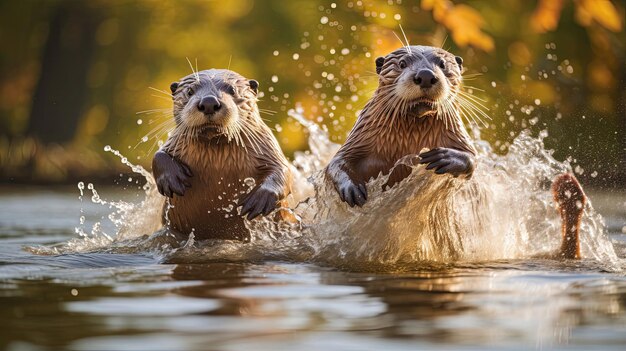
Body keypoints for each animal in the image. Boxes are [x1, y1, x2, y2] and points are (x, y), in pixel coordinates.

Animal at [155, 69, 294, 242]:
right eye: (190, 91)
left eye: (232, 90)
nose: (209, 102)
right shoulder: (175, 141)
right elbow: (158, 155)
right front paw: (171, 178)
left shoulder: (266, 146)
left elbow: (283, 170)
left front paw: (261, 199)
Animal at [326, 45, 472, 208]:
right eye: (402, 63)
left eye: (442, 64)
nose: (425, 75)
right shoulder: (360, 138)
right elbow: (337, 161)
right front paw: (352, 188)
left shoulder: (456, 134)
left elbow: (472, 159)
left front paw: (445, 156)